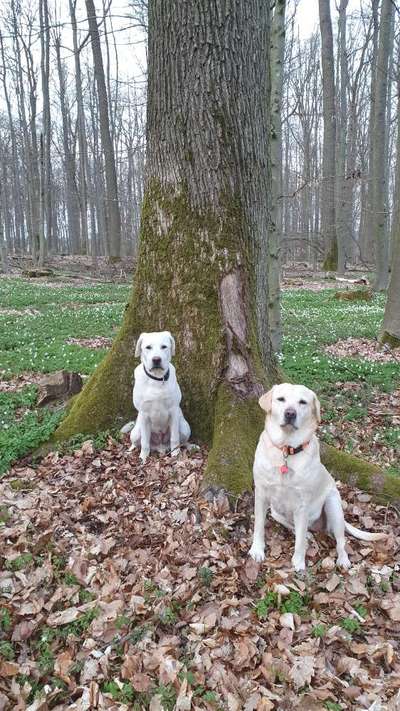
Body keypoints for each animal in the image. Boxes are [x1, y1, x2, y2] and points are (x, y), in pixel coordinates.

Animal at [121, 330, 191, 464]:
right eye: (148, 347)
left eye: (164, 347)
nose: (156, 359)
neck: (157, 379)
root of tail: (160, 447)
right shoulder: (143, 414)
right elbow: (144, 442)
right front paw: (143, 458)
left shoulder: (174, 410)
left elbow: (175, 438)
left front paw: (176, 456)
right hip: (135, 432)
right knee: (137, 442)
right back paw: (130, 451)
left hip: (185, 428)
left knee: (182, 441)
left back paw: (190, 446)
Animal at [248, 384, 386, 572]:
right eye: (281, 399)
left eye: (302, 402)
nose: (290, 413)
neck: (287, 449)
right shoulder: (261, 494)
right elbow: (259, 526)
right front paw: (257, 549)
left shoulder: (302, 504)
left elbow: (299, 542)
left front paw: (299, 562)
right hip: (276, 513)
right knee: (298, 528)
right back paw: (308, 533)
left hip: (333, 505)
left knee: (340, 540)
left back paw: (343, 559)